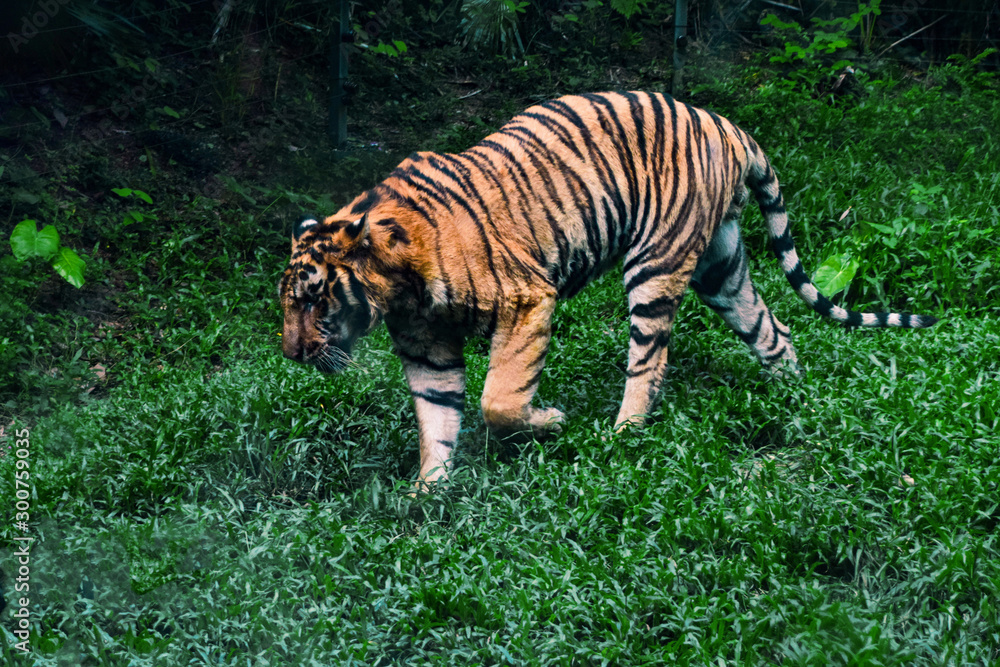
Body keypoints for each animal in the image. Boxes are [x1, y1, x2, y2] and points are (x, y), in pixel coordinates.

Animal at [279, 91, 938, 487]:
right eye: (289, 304)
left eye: (313, 300)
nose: (291, 352)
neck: (399, 290)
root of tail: (727, 125)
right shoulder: (426, 344)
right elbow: (436, 419)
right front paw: (427, 494)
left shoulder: (526, 300)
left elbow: (499, 399)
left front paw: (551, 421)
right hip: (721, 268)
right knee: (772, 330)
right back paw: (794, 399)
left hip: (656, 262)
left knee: (650, 358)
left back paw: (624, 432)